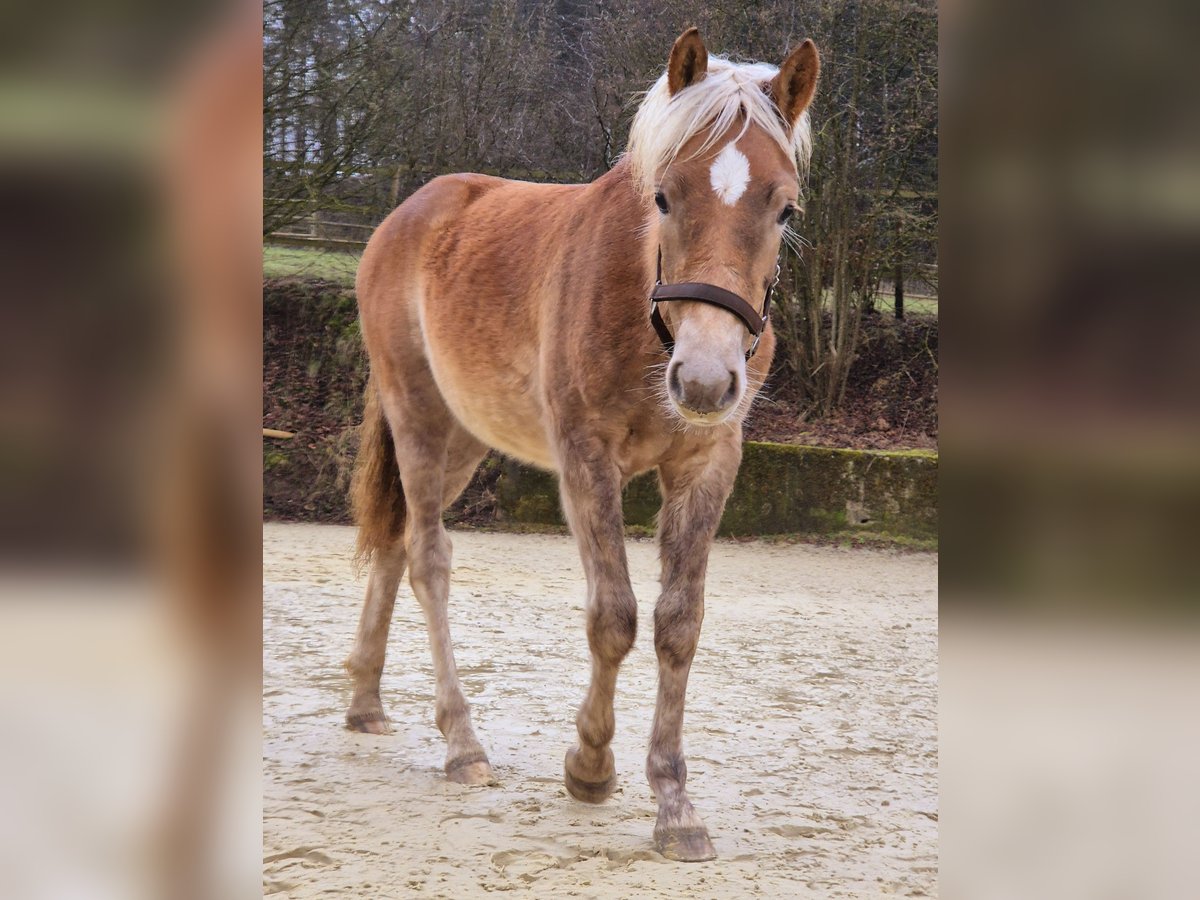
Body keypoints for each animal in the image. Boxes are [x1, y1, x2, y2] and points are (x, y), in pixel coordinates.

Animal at [343, 24, 820, 864]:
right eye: (663, 196)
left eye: (784, 207)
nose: (704, 378)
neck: (644, 307)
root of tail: (410, 213)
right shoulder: (585, 460)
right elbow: (614, 616)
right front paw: (590, 766)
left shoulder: (707, 464)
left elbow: (678, 623)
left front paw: (673, 802)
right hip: (419, 420)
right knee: (428, 558)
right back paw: (461, 743)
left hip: (465, 439)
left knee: (397, 545)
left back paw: (367, 698)